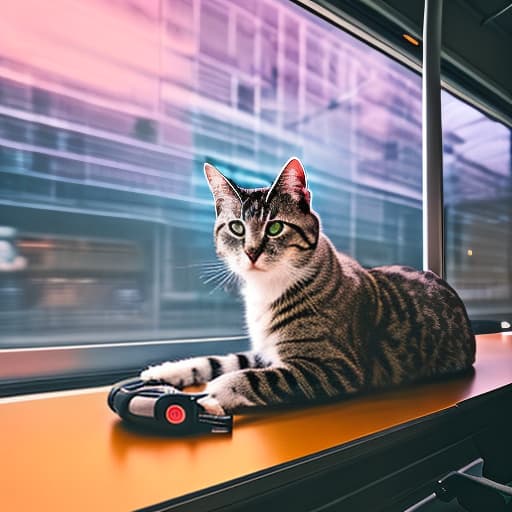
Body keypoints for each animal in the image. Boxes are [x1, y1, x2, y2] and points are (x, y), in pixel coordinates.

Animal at [141, 157, 476, 416]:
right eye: (236, 227)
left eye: (275, 227)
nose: (251, 252)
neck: (266, 289)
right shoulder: (264, 349)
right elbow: (224, 360)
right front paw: (164, 371)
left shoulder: (336, 367)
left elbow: (262, 378)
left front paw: (216, 391)